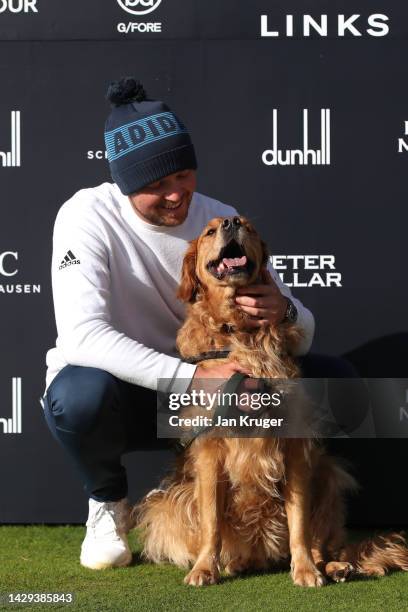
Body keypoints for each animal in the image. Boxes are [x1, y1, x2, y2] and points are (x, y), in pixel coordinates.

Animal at [135, 218, 408, 584]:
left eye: (247, 226)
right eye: (209, 231)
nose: (231, 221)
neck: (240, 331)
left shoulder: (294, 448)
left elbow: (299, 522)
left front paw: (305, 569)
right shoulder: (209, 451)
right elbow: (211, 522)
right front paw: (204, 568)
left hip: (327, 474)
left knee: (323, 542)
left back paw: (331, 565)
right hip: (167, 503)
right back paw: (232, 563)